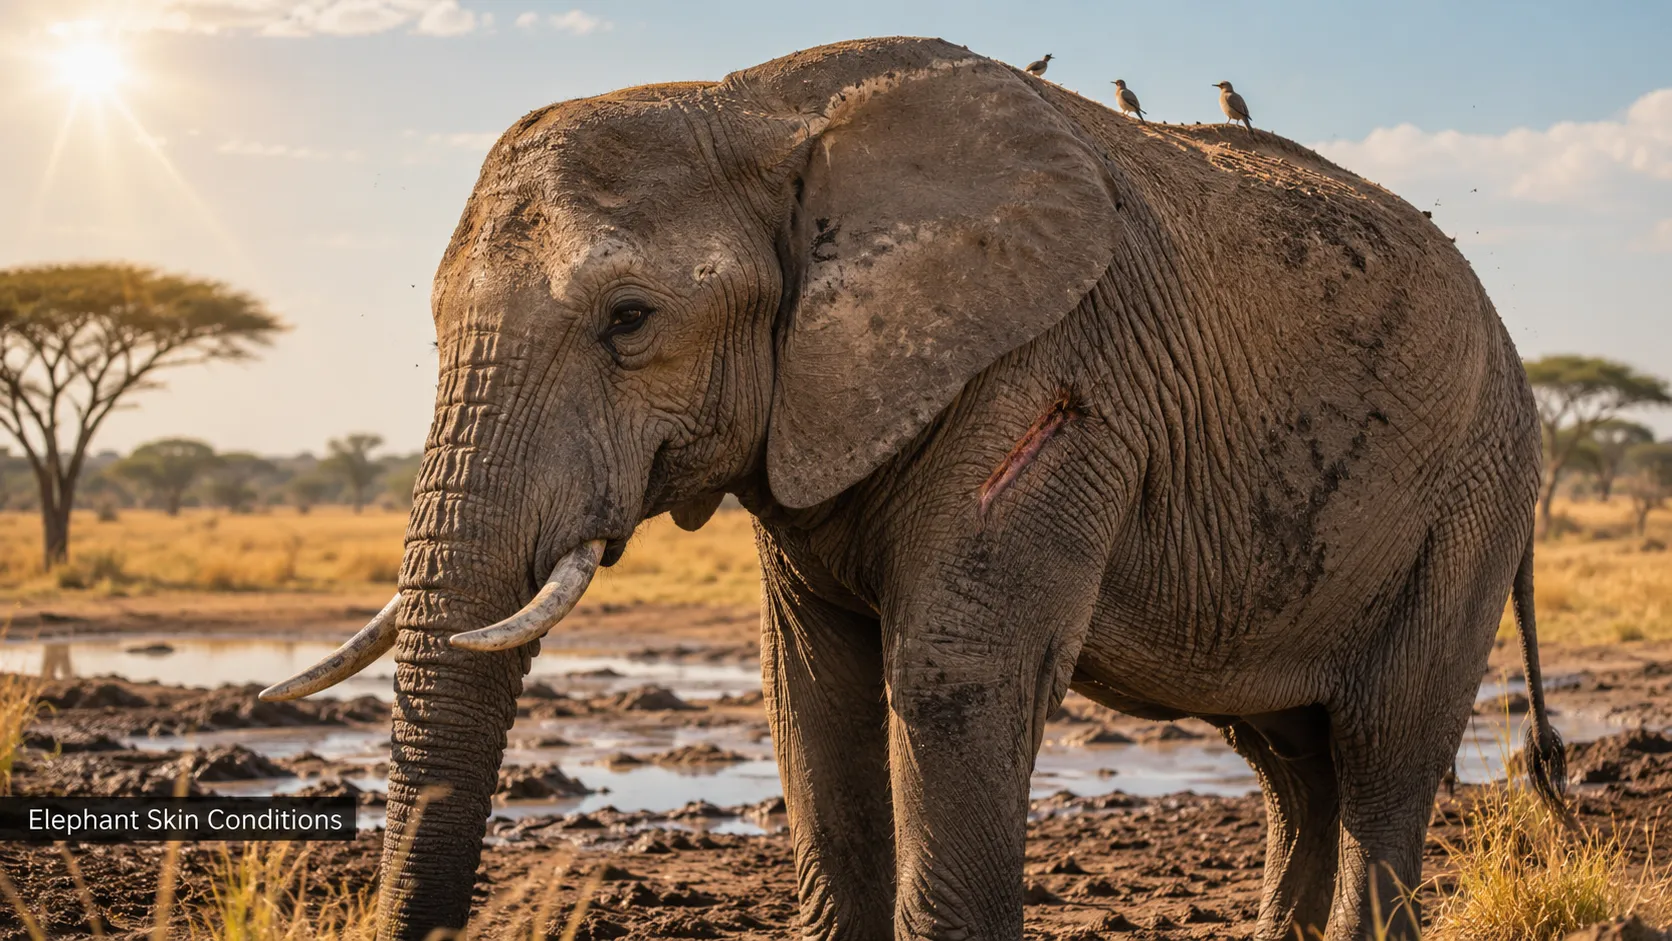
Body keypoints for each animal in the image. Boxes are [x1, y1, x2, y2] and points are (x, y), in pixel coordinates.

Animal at [262, 36, 1567, 941]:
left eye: (629, 320)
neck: (750, 105)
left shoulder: (1055, 375)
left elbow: (951, 672)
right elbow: (810, 689)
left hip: (1475, 488)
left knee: (1383, 745)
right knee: (1292, 765)